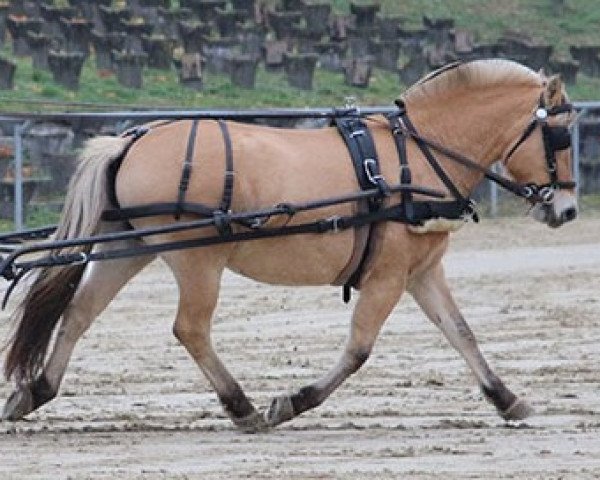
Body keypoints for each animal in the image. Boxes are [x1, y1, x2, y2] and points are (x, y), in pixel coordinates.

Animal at [2, 60, 580, 432]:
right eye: (560, 139)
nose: (569, 211)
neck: (416, 154)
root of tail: (131, 139)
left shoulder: (421, 272)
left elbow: (462, 334)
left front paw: (507, 399)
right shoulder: (388, 277)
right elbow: (359, 349)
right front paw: (295, 401)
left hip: (132, 247)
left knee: (79, 313)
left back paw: (36, 390)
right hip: (196, 258)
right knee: (190, 328)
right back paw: (242, 407)